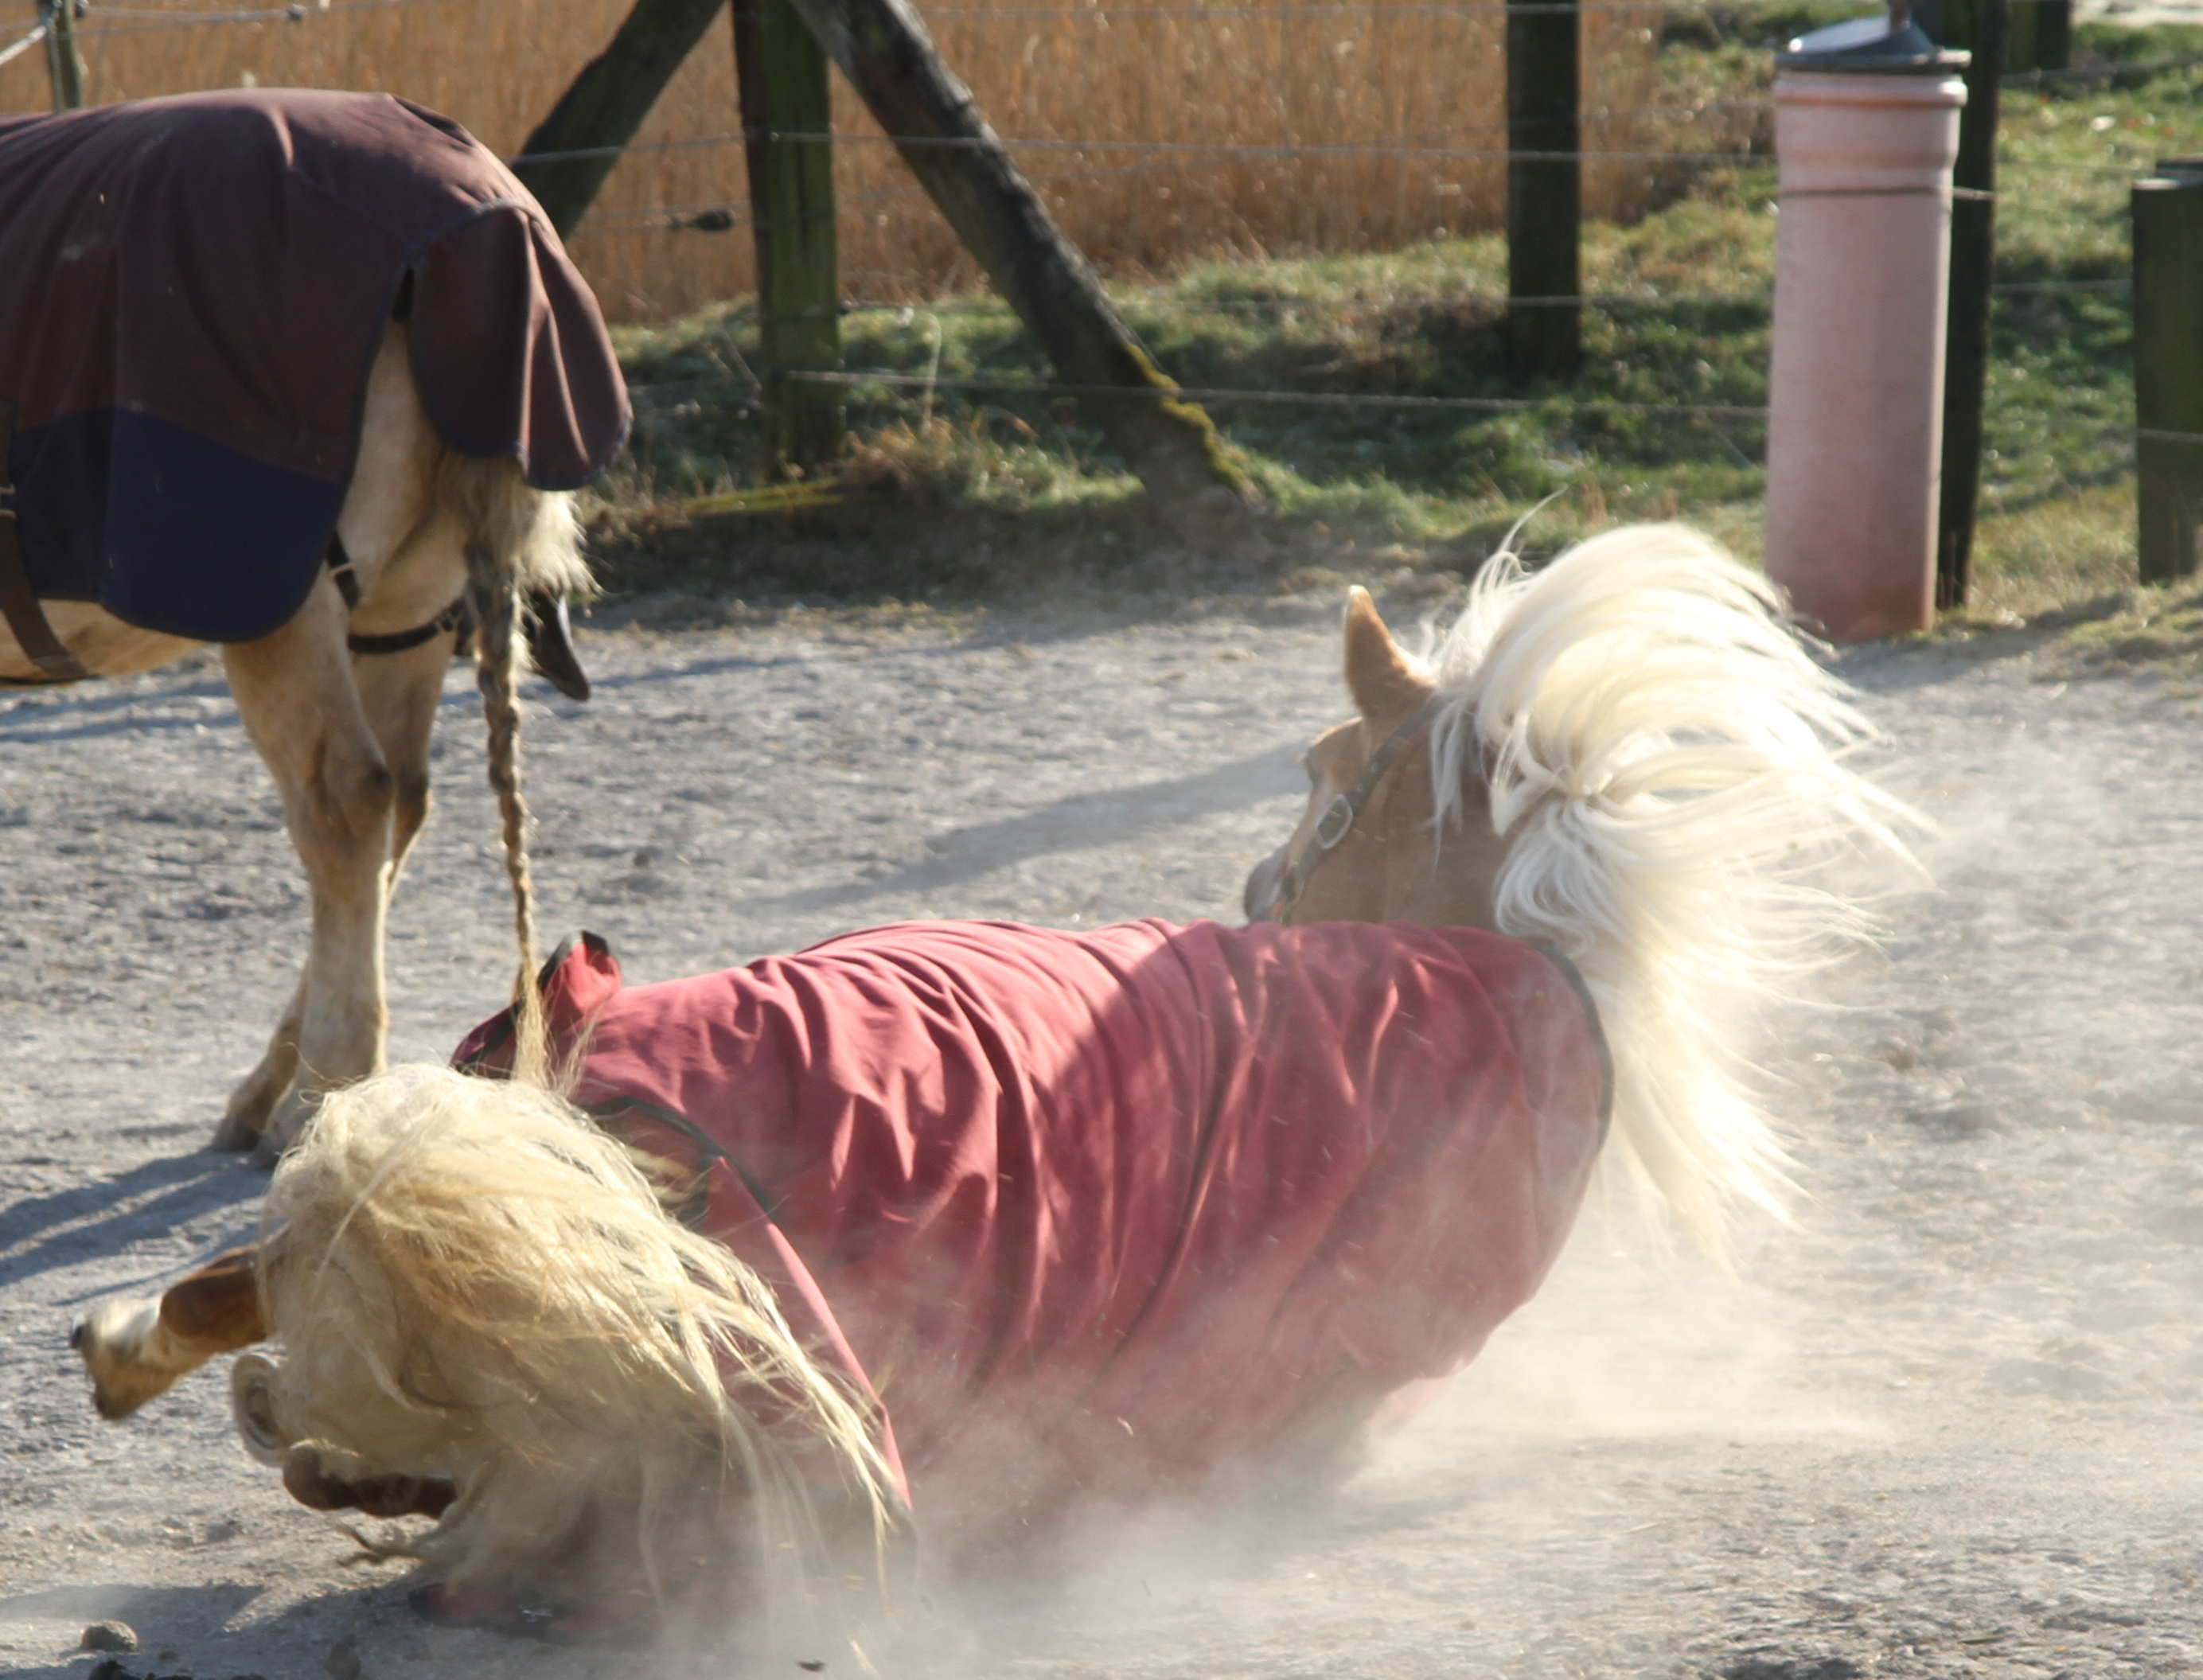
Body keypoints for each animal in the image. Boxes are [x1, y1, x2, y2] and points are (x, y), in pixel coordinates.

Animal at [6, 88, 630, 1153]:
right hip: (402, 612)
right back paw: (285, 1082)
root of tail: (485, 232)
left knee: (346, 798)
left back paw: (322, 1086)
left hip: (293, 610)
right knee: (397, 802)